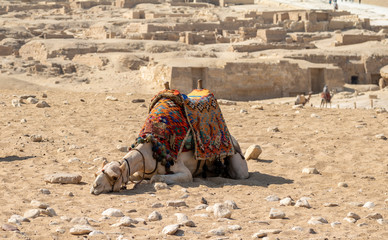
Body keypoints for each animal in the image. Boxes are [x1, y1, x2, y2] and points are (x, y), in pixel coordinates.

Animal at [91, 81, 249, 194]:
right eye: (97, 173)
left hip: (238, 165)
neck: (150, 151)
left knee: (239, 173)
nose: (94, 187)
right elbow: (133, 176)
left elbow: (155, 177)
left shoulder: (183, 171)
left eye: (114, 177)